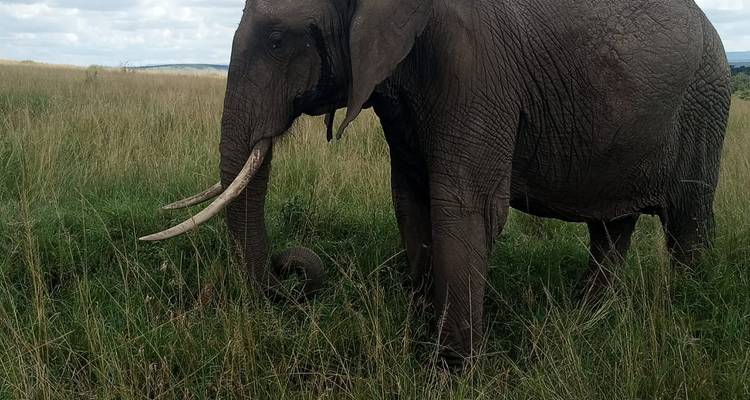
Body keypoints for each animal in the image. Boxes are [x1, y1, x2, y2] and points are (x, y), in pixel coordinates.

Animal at [140, 0, 731, 367]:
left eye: (280, 41)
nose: (291, 272)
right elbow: (411, 201)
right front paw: (421, 331)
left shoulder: (476, 68)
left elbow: (465, 205)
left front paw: (451, 368)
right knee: (611, 226)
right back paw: (588, 316)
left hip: (706, 101)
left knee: (688, 219)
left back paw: (689, 309)